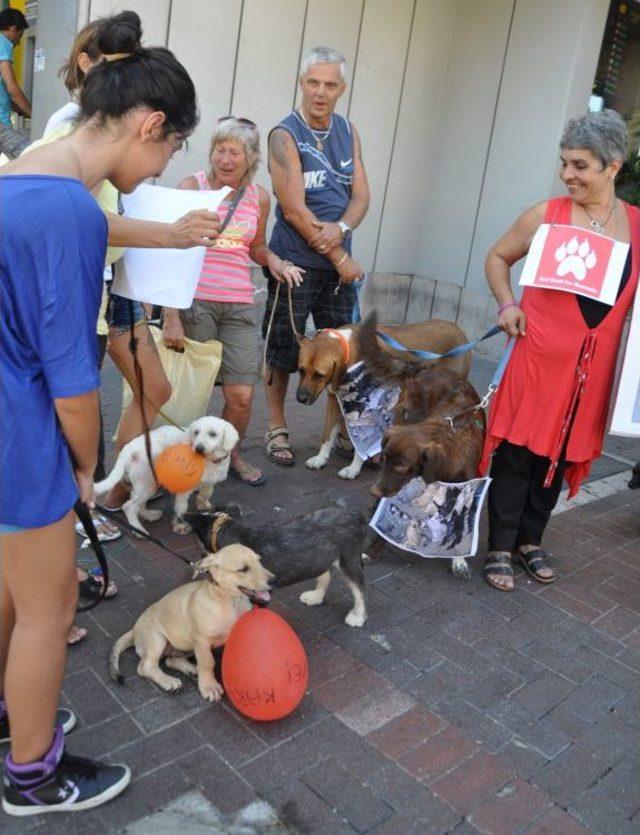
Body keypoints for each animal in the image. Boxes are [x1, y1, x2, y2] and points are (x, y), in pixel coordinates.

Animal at [108, 544, 272, 704]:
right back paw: (169, 681)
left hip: (184, 645)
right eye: (243, 569)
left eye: (260, 561)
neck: (230, 602)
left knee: (170, 660)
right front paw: (209, 686)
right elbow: (208, 663)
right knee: (145, 667)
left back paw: (192, 670)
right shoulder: (202, 641)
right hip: (157, 639)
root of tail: (134, 630)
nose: (274, 580)